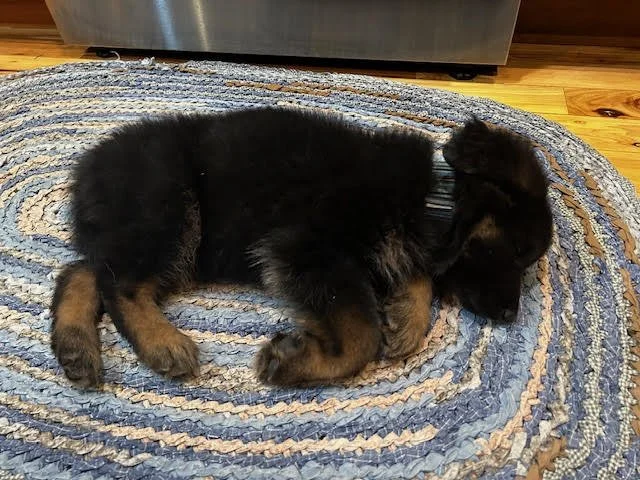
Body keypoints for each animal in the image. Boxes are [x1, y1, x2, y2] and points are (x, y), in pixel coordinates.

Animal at [50, 108, 552, 388]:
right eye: (518, 253)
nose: (511, 315)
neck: (433, 198)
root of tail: (89, 168)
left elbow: (414, 276)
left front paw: (407, 320)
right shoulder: (307, 251)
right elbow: (361, 334)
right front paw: (299, 362)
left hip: (149, 233)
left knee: (83, 271)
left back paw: (75, 346)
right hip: (169, 208)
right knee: (121, 285)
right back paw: (162, 342)